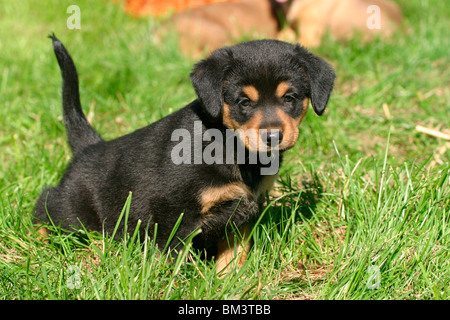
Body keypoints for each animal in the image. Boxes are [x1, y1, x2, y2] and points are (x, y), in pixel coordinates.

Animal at [34, 35, 334, 272]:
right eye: (244, 102)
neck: (229, 145)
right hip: (71, 211)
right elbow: (174, 257)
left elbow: (235, 254)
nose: (273, 136)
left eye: (289, 98)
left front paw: (227, 281)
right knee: (45, 207)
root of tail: (90, 147)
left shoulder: (244, 211)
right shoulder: (172, 213)